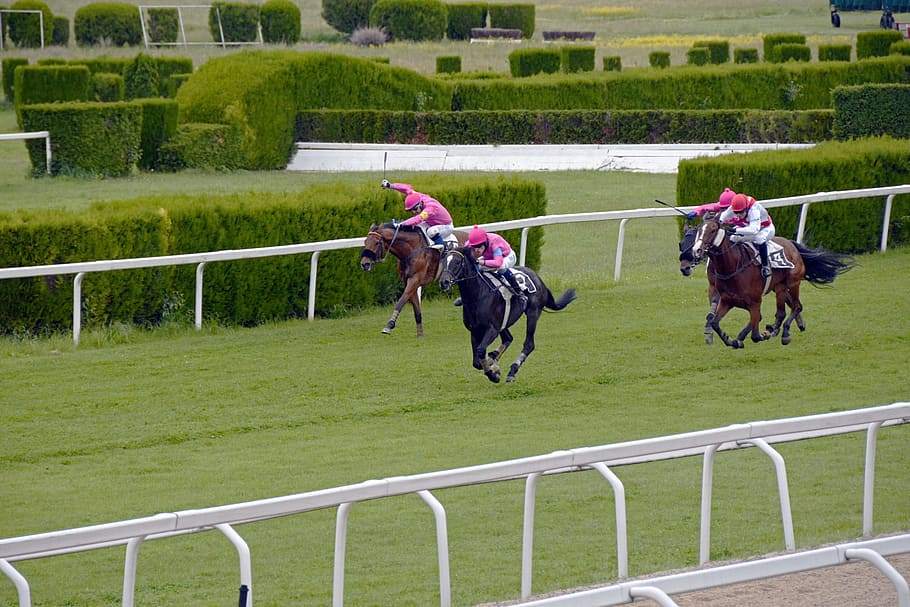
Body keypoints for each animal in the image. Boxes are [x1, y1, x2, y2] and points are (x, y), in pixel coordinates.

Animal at [436, 247, 576, 384]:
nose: (444, 282)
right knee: (508, 338)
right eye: (444, 262)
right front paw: (493, 367)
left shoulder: (492, 329)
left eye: (457, 262)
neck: (477, 296)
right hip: (503, 323)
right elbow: (477, 361)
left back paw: (512, 371)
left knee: (529, 344)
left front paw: (493, 374)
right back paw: (494, 358)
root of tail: (538, 277)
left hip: (533, 313)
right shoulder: (475, 330)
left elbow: (481, 351)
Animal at [696, 216, 860, 350]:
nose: (697, 250)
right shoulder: (726, 301)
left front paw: (759, 335)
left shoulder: (755, 302)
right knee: (781, 312)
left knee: (796, 306)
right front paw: (731, 340)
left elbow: (755, 334)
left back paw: (784, 333)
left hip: (793, 283)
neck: (732, 267)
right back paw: (776, 328)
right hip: (779, 287)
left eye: (713, 230)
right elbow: (715, 322)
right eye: (698, 230)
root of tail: (792, 244)